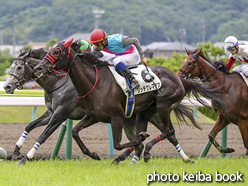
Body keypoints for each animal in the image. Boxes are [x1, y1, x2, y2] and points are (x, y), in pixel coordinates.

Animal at [32, 38, 221, 163]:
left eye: (57, 51)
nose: (38, 68)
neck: (95, 82)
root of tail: (179, 78)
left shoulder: (116, 117)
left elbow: (117, 144)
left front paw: (138, 142)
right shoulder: (93, 116)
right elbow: (74, 132)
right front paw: (93, 154)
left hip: (164, 105)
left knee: (169, 131)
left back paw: (147, 151)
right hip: (145, 112)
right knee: (167, 132)